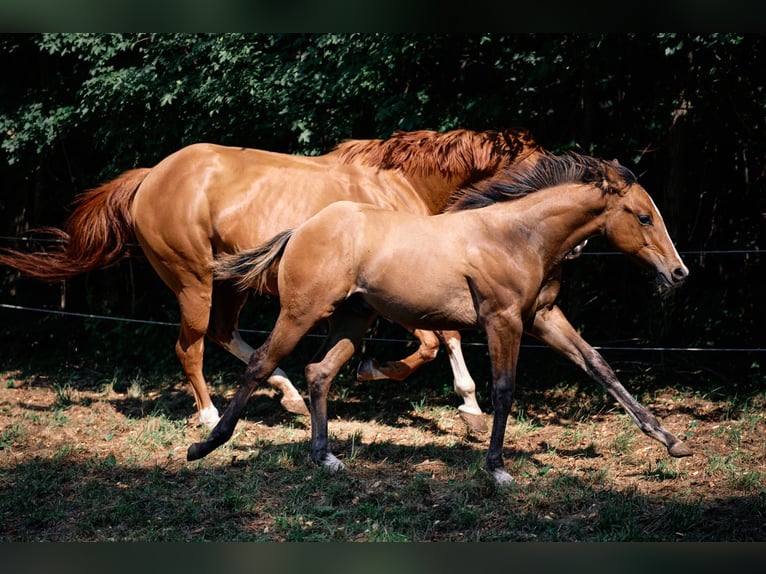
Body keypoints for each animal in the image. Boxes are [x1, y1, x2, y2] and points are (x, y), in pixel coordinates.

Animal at [0, 128, 540, 430]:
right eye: (539, 162)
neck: (395, 184)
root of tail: (151, 176)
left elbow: (445, 338)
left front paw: (470, 409)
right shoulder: (391, 294)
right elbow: (431, 344)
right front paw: (376, 372)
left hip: (231, 283)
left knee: (225, 335)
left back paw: (291, 397)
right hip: (193, 282)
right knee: (190, 346)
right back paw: (210, 415)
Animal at [190, 153, 688, 486]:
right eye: (643, 217)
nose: (678, 272)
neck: (519, 236)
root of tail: (302, 228)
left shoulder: (543, 318)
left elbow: (600, 366)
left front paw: (671, 440)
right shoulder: (503, 321)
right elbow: (503, 390)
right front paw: (496, 468)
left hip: (353, 319)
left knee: (319, 371)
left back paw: (324, 456)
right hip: (301, 311)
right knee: (261, 362)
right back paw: (206, 444)